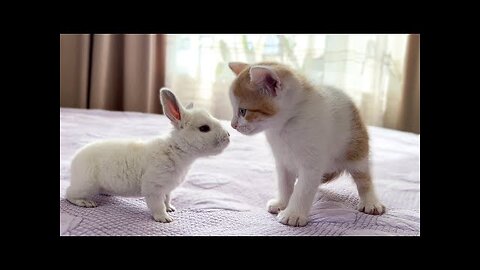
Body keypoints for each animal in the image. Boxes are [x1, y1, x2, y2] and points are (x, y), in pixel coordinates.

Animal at [66, 87, 231, 223]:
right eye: (204, 128)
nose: (228, 136)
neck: (176, 149)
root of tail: (75, 160)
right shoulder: (154, 188)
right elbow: (158, 205)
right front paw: (165, 218)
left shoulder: (167, 190)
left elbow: (167, 200)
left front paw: (171, 208)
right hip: (86, 185)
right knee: (69, 194)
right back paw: (86, 203)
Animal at [228, 61, 386, 226]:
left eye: (243, 111)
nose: (233, 125)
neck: (284, 126)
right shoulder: (283, 161)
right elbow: (284, 184)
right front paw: (282, 203)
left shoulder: (312, 163)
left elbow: (303, 189)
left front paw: (293, 214)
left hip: (356, 148)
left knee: (363, 178)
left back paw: (370, 202)